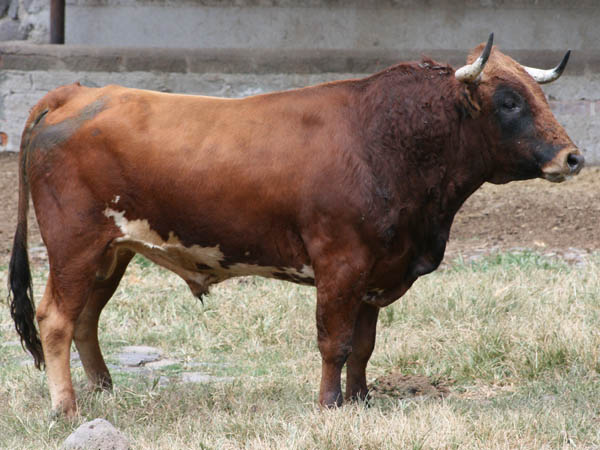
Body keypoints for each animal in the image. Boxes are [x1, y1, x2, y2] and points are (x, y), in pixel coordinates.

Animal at [8, 34, 583, 417]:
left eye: (541, 97)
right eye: (509, 101)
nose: (573, 158)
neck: (386, 139)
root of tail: (77, 91)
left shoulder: (375, 271)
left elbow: (364, 344)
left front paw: (361, 399)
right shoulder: (341, 264)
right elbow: (335, 342)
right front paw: (330, 404)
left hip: (113, 251)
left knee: (86, 319)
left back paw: (103, 389)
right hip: (74, 246)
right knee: (56, 319)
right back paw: (67, 407)